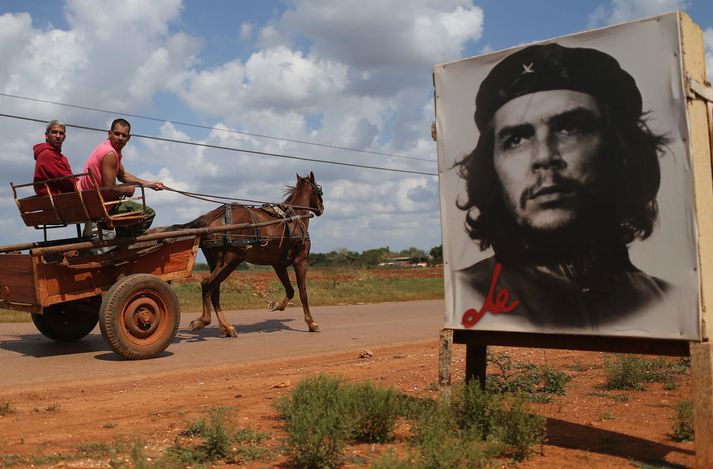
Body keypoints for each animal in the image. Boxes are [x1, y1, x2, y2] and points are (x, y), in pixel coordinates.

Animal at [156, 172, 326, 336]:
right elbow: (303, 293)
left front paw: (277, 305)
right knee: (207, 284)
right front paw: (311, 323)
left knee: (214, 290)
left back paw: (226, 327)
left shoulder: (279, 264)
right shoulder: (300, 261)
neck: (294, 217)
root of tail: (209, 217)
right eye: (319, 191)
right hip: (231, 259)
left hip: (216, 261)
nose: (321, 209)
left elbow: (290, 290)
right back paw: (203, 320)